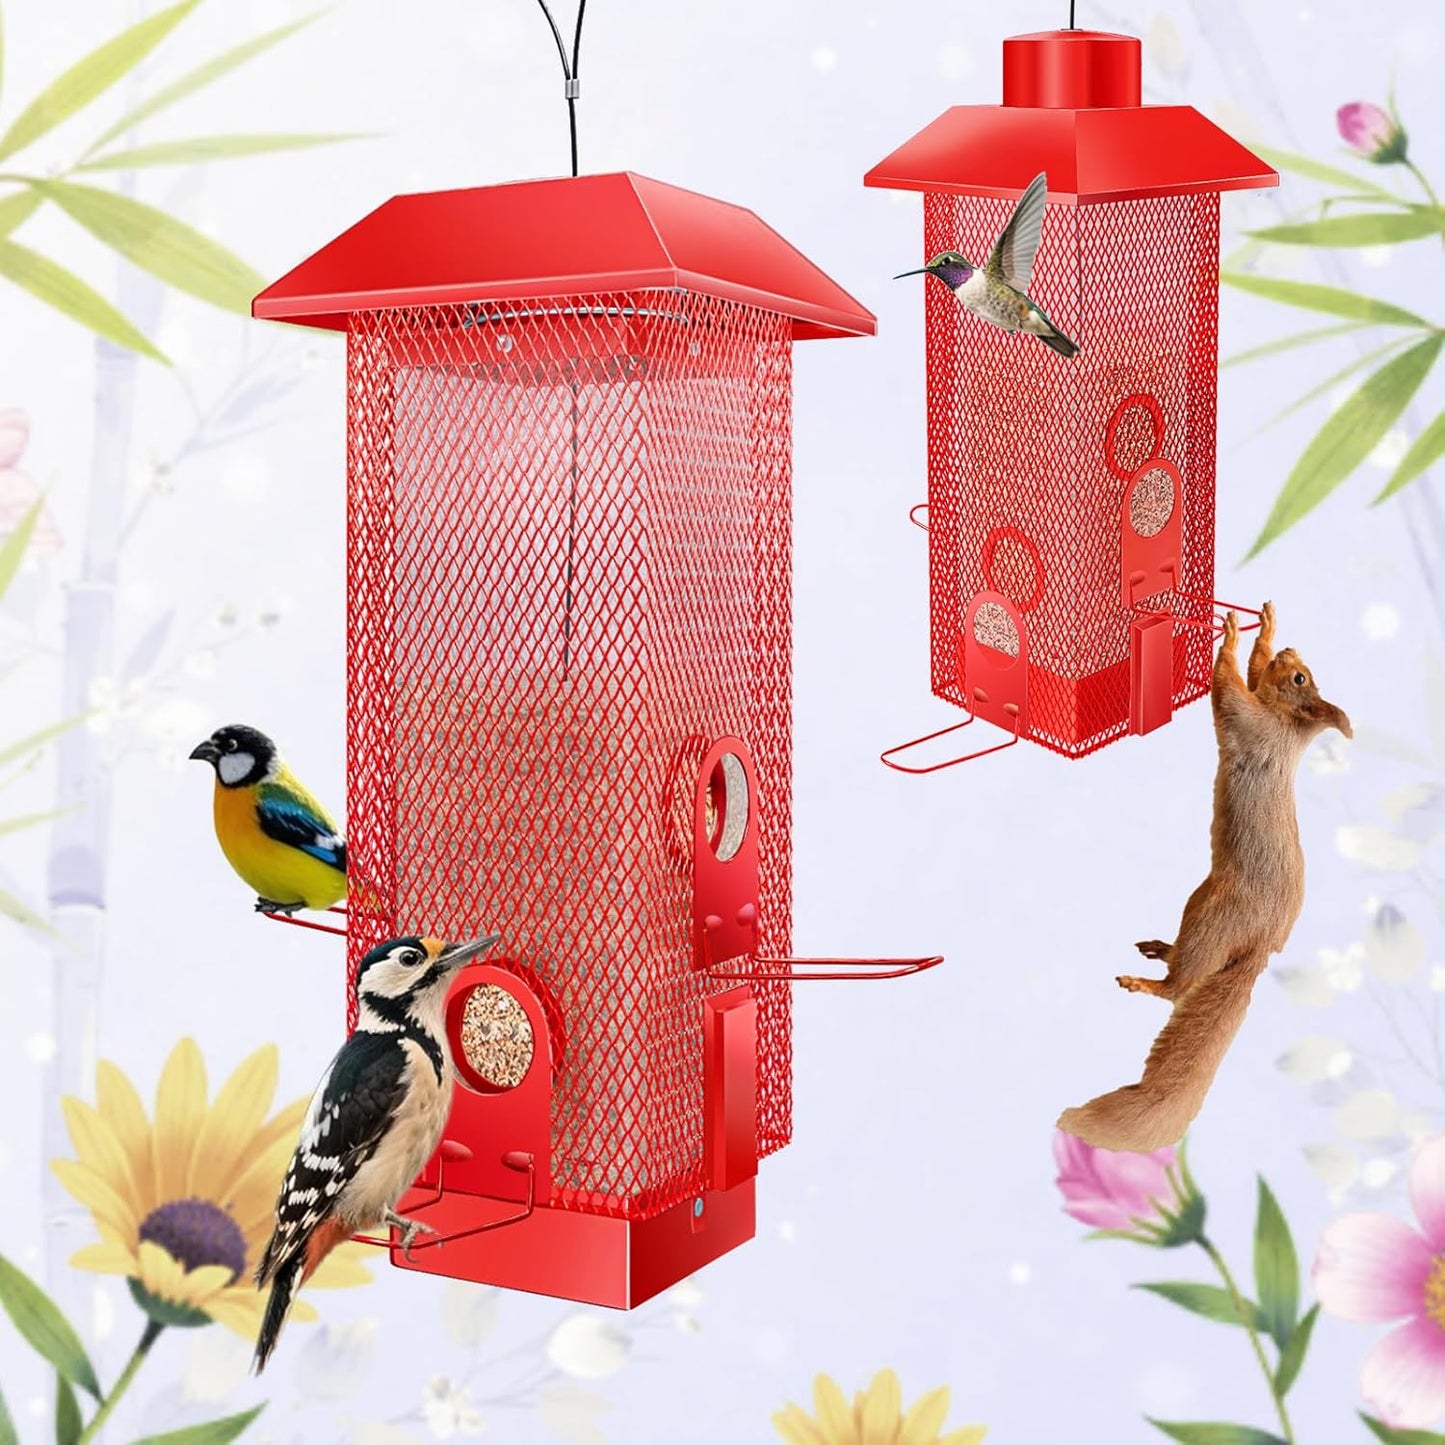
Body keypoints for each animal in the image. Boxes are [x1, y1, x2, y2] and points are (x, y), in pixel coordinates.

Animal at [1056, 601, 1351, 1153]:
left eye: (1300, 678)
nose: (1291, 650)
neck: (1287, 726)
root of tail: (1260, 947)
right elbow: (1251, 675)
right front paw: (1265, 627)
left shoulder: (1250, 722)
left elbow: (1229, 688)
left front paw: (1230, 637)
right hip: (1198, 903)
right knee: (1185, 968)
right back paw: (1160, 949)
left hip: (1216, 918)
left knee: (1178, 989)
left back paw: (1145, 981)